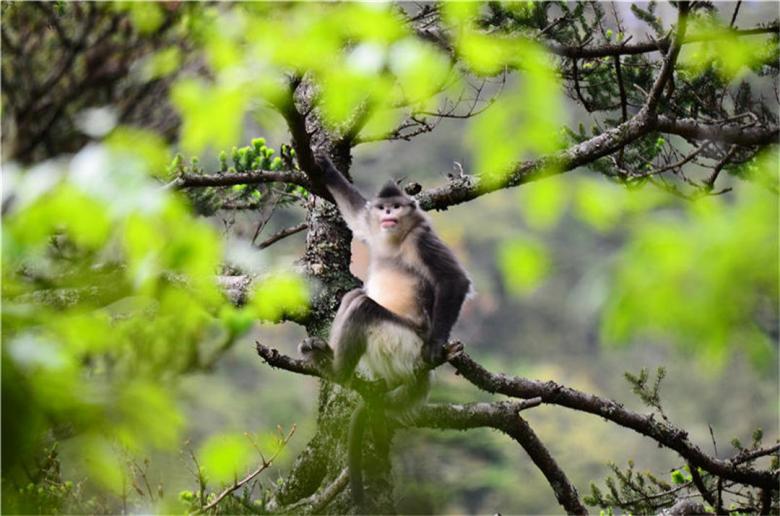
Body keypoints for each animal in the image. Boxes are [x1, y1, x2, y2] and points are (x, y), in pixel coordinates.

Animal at [299, 155, 471, 507]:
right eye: (383, 208)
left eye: (396, 206)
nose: (389, 213)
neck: (396, 240)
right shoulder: (373, 228)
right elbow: (356, 216)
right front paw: (324, 166)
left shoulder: (423, 240)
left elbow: (455, 280)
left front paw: (436, 344)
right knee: (352, 297)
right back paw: (325, 353)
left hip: (402, 345)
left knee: (363, 307)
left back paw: (336, 370)